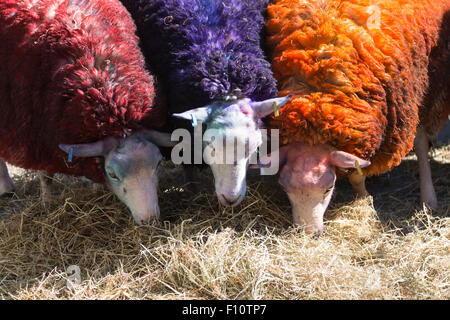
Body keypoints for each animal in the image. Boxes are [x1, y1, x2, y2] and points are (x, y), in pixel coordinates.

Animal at [0, 0, 175, 225]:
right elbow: (46, 176)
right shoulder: (39, 136)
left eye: (159, 163)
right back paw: (6, 187)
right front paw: (47, 200)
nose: (149, 219)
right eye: (112, 174)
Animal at [260, 0, 450, 235]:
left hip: (426, 88)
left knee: (421, 139)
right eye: (284, 188)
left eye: (328, 189)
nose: (309, 233)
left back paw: (428, 198)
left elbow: (357, 173)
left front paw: (363, 198)